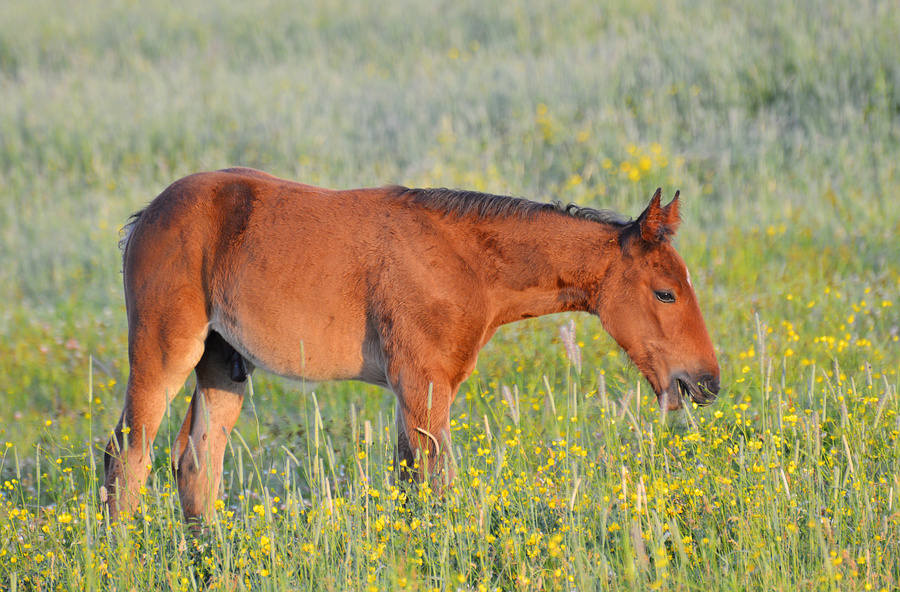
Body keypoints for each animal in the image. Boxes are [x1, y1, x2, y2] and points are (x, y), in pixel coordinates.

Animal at [103, 168, 716, 524]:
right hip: (164, 352)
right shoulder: (423, 386)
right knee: (126, 457)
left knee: (195, 464)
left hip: (223, 365)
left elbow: (408, 485)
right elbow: (435, 487)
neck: (468, 261)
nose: (706, 382)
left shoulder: (415, 391)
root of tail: (145, 216)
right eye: (665, 292)